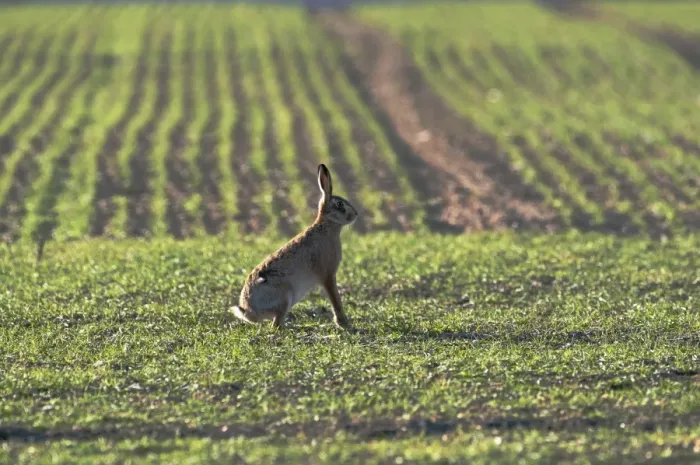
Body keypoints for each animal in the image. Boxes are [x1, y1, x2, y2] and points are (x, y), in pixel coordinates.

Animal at [231, 163, 358, 330]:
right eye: (340, 204)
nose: (356, 214)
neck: (327, 225)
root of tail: (248, 312)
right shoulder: (327, 275)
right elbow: (335, 299)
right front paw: (345, 324)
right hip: (286, 295)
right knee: (276, 325)